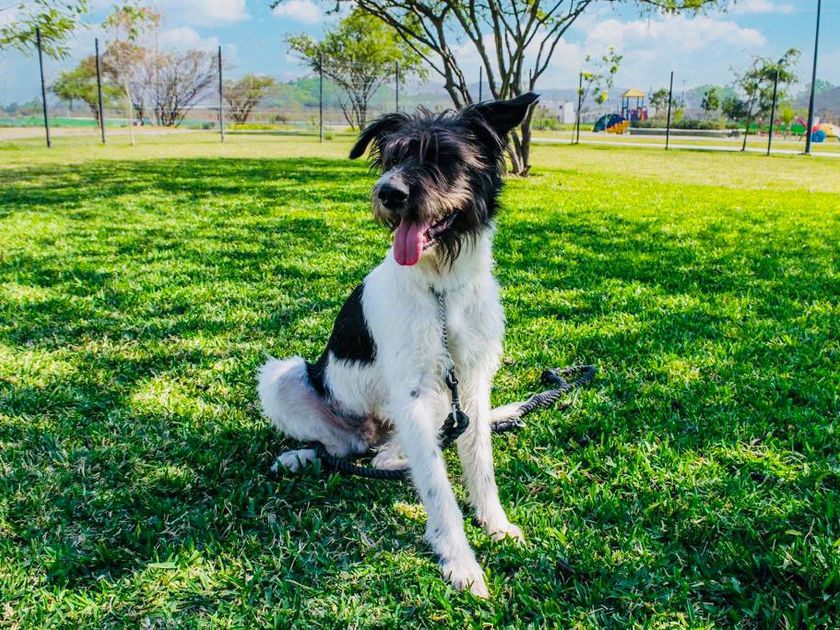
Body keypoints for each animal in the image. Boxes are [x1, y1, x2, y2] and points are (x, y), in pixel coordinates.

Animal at [258, 92, 539, 597]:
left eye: (446, 158)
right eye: (392, 158)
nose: (389, 193)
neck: (442, 290)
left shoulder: (471, 383)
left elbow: (480, 463)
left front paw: (495, 524)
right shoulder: (413, 393)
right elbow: (437, 488)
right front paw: (460, 561)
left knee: (387, 453)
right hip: (284, 376)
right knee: (344, 450)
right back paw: (303, 456)